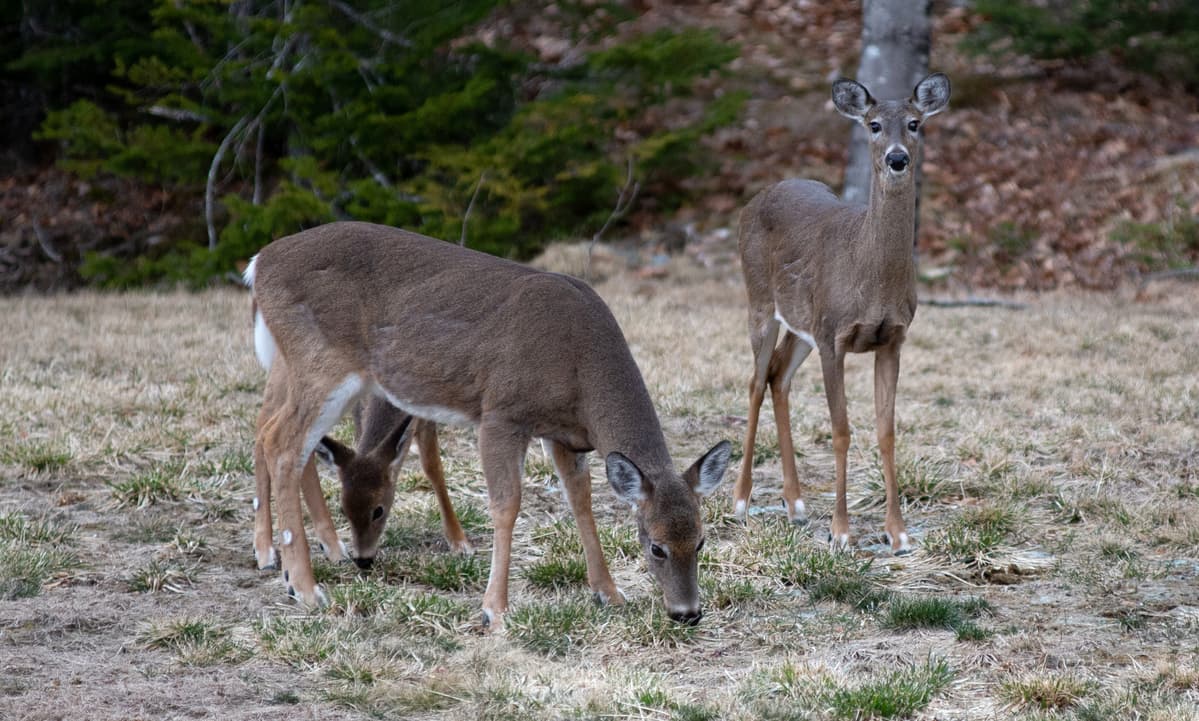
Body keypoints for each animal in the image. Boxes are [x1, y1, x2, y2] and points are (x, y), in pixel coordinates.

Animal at [244, 221, 731, 627]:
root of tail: (259, 262)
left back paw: (291, 558)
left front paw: (608, 593)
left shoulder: (563, 435)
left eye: (701, 541)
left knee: (270, 429)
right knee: (284, 444)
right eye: (656, 547)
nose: (688, 613)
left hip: (306, 370)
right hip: (322, 365)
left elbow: (581, 502)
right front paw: (494, 610)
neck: (580, 365)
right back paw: (305, 588)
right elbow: (507, 505)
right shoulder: (501, 412)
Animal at [731, 72, 951, 554]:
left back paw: (795, 504)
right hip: (760, 302)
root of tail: (759, 196)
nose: (897, 158)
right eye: (873, 124)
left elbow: (886, 431)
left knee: (778, 377)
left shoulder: (892, 339)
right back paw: (739, 501)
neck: (871, 278)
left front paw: (897, 532)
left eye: (914, 123)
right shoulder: (834, 336)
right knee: (755, 381)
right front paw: (841, 530)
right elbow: (841, 429)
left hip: (802, 324)